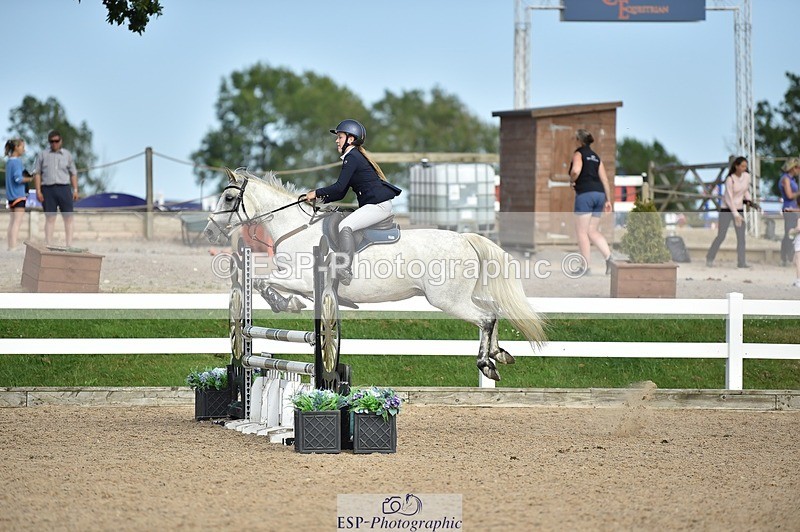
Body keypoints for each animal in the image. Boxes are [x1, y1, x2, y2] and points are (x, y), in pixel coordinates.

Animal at [204, 168, 545, 381]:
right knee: (493, 311)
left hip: (447, 300)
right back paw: (500, 354)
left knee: (485, 319)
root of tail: (465, 238)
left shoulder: (300, 278)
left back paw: (486, 363)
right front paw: (288, 302)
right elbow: (266, 283)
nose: (209, 232)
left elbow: (262, 280)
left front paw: (283, 303)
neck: (295, 227)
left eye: (229, 198)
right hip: (463, 296)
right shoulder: (302, 282)